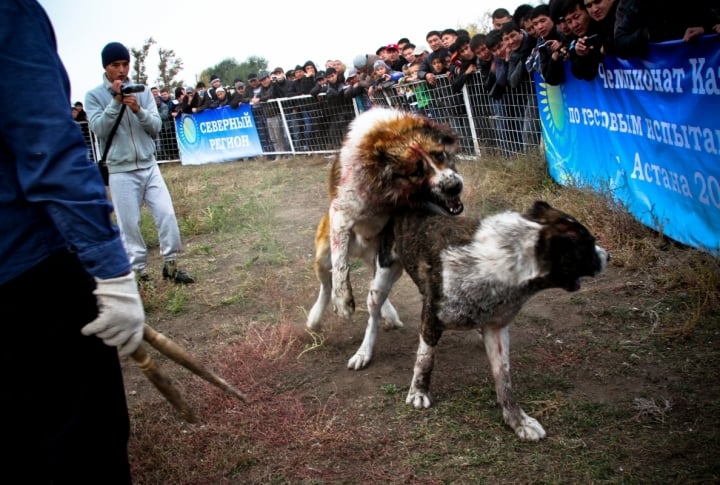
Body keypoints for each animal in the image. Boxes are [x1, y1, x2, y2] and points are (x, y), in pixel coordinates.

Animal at [304, 108, 462, 340]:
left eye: (439, 155)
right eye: (416, 172)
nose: (454, 187)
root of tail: (361, 250)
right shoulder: (342, 215)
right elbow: (340, 265)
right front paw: (342, 302)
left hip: (386, 260)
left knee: (376, 289)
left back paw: (389, 315)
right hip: (323, 256)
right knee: (326, 284)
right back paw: (314, 319)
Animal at [348, 199, 608, 440]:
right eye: (588, 245)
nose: (609, 256)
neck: (501, 263)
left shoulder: (497, 329)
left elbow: (504, 381)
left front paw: (518, 421)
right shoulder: (431, 319)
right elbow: (425, 360)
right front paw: (419, 392)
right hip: (381, 279)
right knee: (373, 316)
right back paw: (363, 352)